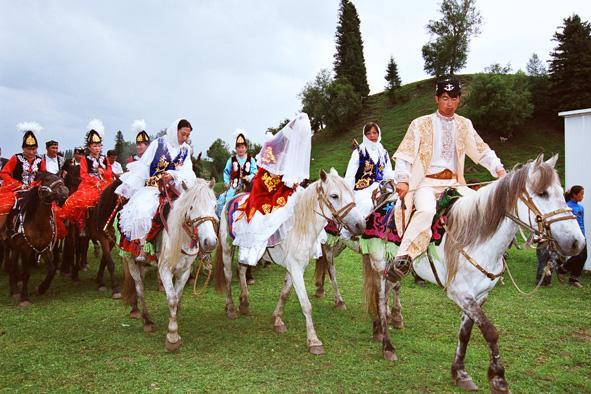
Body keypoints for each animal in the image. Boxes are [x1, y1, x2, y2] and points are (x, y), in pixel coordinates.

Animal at [5, 172, 69, 304]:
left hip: (15, 247)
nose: (65, 191)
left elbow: (52, 269)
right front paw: (24, 297)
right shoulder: (26, 249)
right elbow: (26, 273)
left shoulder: (45, 248)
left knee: (13, 266)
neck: (38, 223)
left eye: (61, 179)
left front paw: (41, 288)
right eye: (47, 179)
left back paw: (14, 290)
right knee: (10, 265)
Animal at [123, 179, 220, 350]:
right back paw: (147, 320)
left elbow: (178, 297)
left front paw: (173, 323)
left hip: (145, 266)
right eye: (191, 207)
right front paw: (172, 337)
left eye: (214, 206)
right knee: (139, 287)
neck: (180, 238)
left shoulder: (184, 272)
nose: (210, 242)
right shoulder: (165, 270)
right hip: (131, 261)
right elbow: (173, 299)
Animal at [215, 169, 368, 354]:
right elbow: (306, 305)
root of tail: (232, 198)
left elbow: (285, 294)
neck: (300, 227)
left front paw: (277, 320)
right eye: (334, 196)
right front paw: (314, 341)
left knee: (242, 270)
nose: (360, 225)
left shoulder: (294, 268)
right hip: (227, 247)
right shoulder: (295, 268)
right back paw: (231, 308)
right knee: (229, 275)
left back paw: (244, 303)